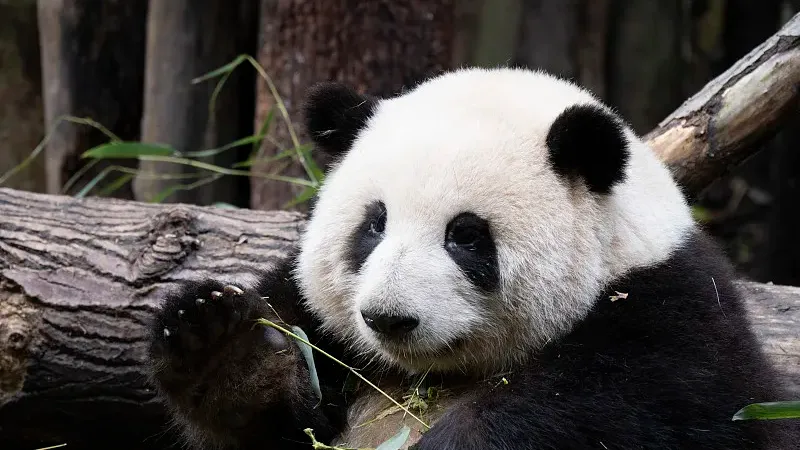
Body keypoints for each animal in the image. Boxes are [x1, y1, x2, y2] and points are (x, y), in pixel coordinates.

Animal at [147, 67, 797, 450]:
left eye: (464, 236)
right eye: (374, 224)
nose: (387, 318)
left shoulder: (669, 330)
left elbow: (598, 412)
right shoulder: (317, 320)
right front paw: (224, 349)